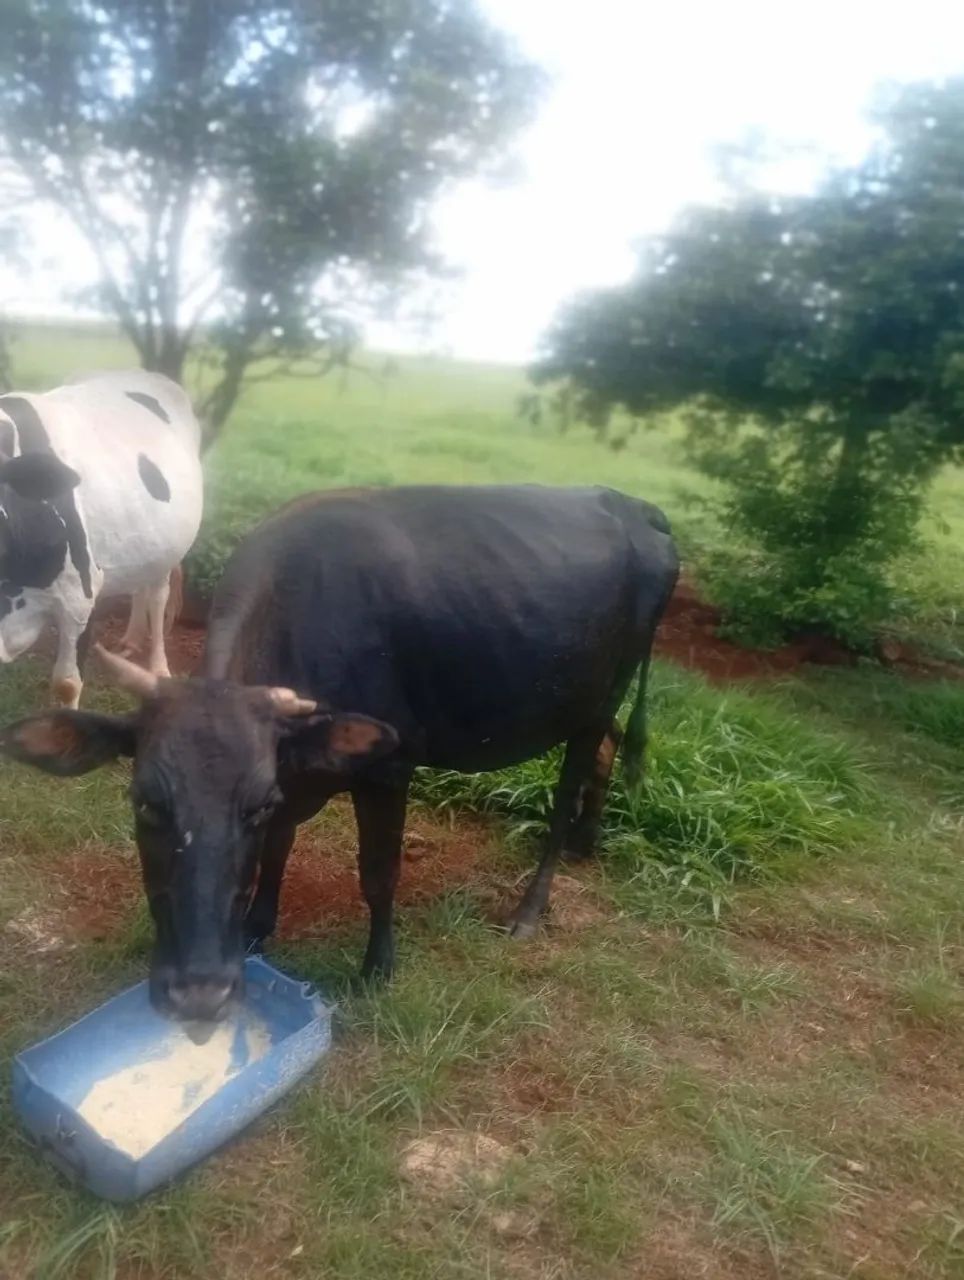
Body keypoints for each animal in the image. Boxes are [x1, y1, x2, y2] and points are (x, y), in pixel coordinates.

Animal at [0, 369, 202, 707]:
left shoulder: (78, 598)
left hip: (168, 550)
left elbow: (67, 684)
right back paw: (130, 641)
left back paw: (159, 667)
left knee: (157, 597)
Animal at [0, 485, 678, 1023]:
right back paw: (589, 842)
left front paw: (378, 967)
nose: (197, 992)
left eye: (253, 805)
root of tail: (632, 503)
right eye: (145, 802)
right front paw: (257, 926)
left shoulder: (387, 768)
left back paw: (532, 906)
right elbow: (278, 849)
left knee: (570, 784)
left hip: (601, 693)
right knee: (609, 749)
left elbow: (378, 874)